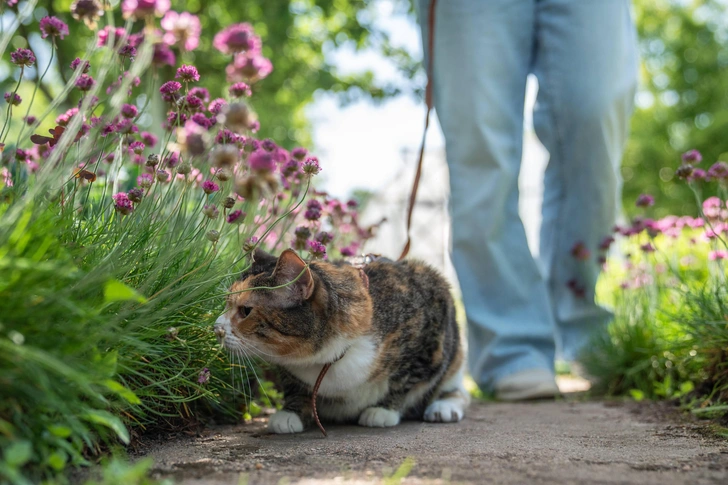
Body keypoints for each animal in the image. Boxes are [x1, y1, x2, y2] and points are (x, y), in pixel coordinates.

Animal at [213, 248, 470, 432]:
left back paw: (444, 407)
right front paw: (292, 412)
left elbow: (404, 380)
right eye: (226, 302)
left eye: (246, 310)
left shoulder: (430, 328)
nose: (216, 328)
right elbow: (294, 385)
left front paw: (384, 410)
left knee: (456, 390)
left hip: (455, 354)